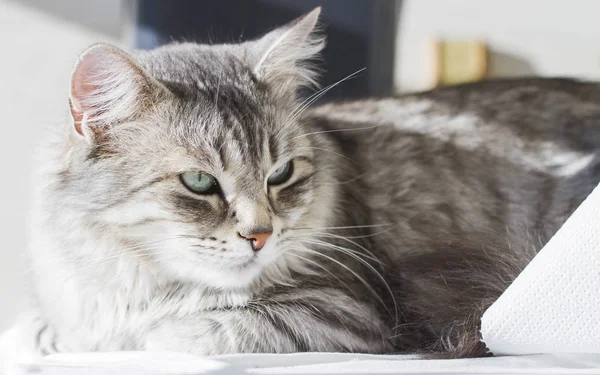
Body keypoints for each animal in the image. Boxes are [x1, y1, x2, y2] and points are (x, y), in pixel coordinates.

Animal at [25, 6, 600, 358]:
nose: (260, 236)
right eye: (199, 181)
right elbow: (40, 335)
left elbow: (190, 332)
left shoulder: (349, 313)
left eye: (280, 174)